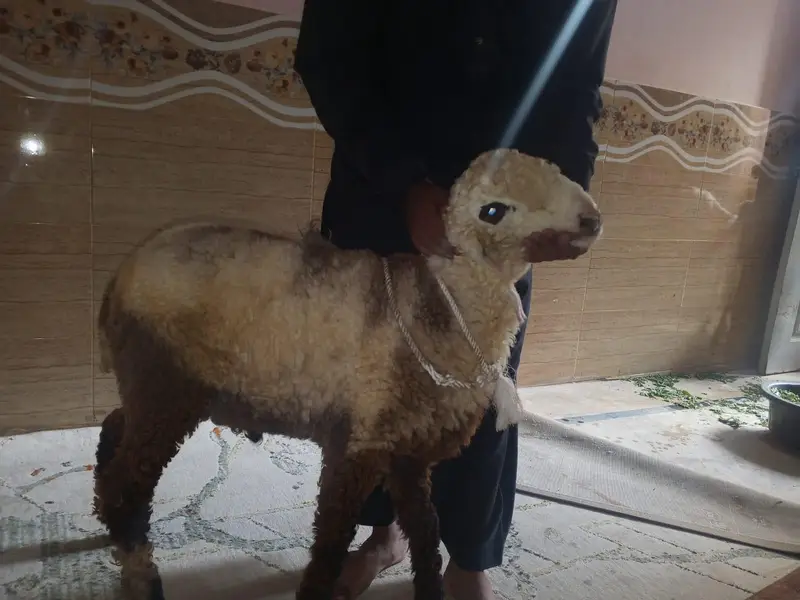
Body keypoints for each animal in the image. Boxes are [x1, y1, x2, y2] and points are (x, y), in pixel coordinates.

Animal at [91, 148, 603, 600]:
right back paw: (139, 566)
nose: (591, 220)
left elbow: (426, 534)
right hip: (165, 381)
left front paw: (431, 591)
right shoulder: (359, 443)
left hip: (151, 385)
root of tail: (122, 275)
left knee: (115, 430)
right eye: (493, 210)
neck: (440, 304)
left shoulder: (408, 453)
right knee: (129, 480)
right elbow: (331, 542)